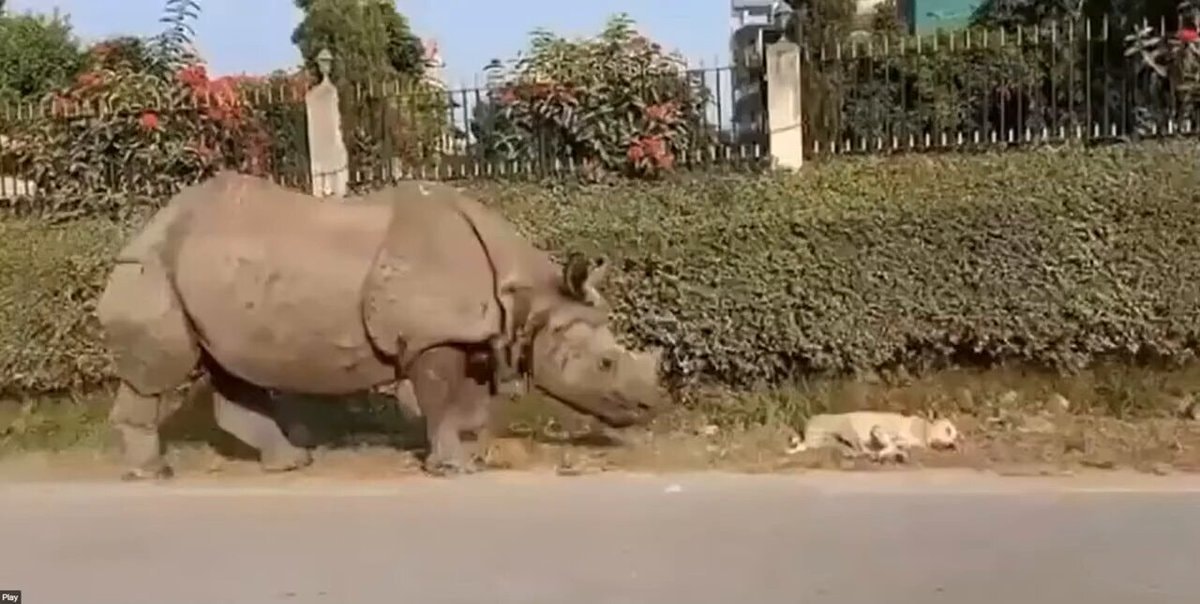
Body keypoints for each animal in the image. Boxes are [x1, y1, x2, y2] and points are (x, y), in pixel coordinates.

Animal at [95, 171, 665, 480]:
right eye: (606, 362)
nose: (649, 407)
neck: (529, 298)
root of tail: (141, 230)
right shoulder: (432, 337)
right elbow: (441, 400)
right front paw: (453, 467)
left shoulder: (473, 332)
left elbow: (470, 403)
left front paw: (474, 452)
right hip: (153, 270)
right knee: (161, 373)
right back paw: (153, 474)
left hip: (204, 276)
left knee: (230, 370)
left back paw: (293, 463)